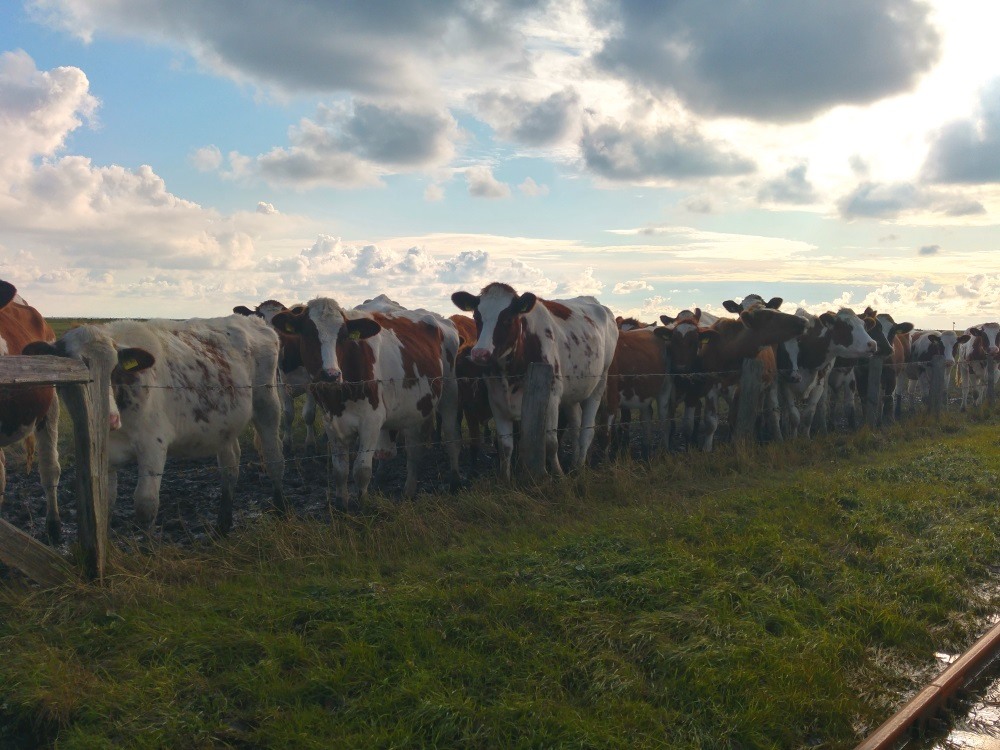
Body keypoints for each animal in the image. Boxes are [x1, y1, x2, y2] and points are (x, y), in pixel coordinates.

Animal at [27, 318, 286, 536]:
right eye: (79, 371)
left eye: (115, 369)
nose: (109, 419)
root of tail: (253, 320)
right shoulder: (106, 456)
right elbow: (106, 503)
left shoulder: (153, 446)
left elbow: (146, 504)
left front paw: (148, 550)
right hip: (225, 424)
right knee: (230, 467)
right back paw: (223, 523)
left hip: (267, 404)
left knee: (274, 457)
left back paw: (281, 510)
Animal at [232, 302, 318, 456]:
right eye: (260, 316)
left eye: (281, 316)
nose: (272, 338)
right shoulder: (281, 385)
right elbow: (288, 415)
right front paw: (287, 444)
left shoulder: (311, 385)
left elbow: (309, 414)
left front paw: (310, 444)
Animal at [272, 296, 462, 508]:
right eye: (308, 334)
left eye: (343, 336)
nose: (331, 375)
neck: (339, 397)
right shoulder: (331, 423)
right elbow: (340, 471)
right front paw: (341, 505)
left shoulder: (371, 423)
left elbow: (361, 470)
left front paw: (362, 505)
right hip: (414, 406)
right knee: (414, 449)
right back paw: (408, 492)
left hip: (450, 391)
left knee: (451, 435)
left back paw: (455, 481)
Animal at [452, 284, 616, 478]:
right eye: (476, 317)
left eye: (508, 319)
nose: (480, 353)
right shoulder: (497, 402)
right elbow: (505, 446)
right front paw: (505, 478)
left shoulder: (551, 399)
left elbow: (551, 442)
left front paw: (558, 475)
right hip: (572, 392)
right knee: (576, 425)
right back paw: (574, 463)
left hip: (599, 383)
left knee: (587, 429)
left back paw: (579, 466)